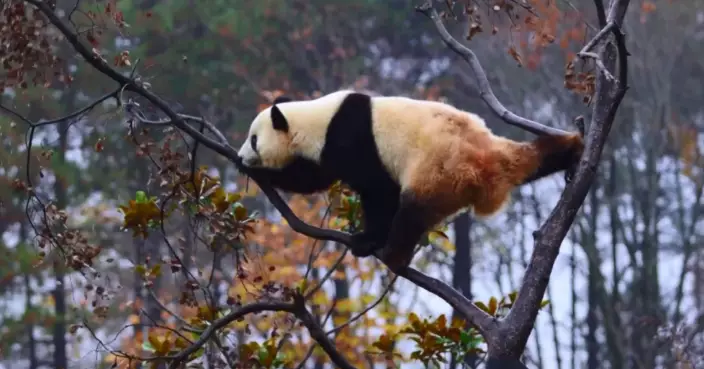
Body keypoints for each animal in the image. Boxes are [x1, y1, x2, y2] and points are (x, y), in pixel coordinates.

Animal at [236, 89, 584, 270]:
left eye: (253, 139)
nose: (241, 156)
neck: (316, 119)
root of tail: (485, 169)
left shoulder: (349, 140)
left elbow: (376, 190)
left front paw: (367, 239)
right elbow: (314, 179)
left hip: (438, 171)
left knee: (413, 209)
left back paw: (393, 254)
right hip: (499, 153)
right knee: (536, 155)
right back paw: (574, 151)